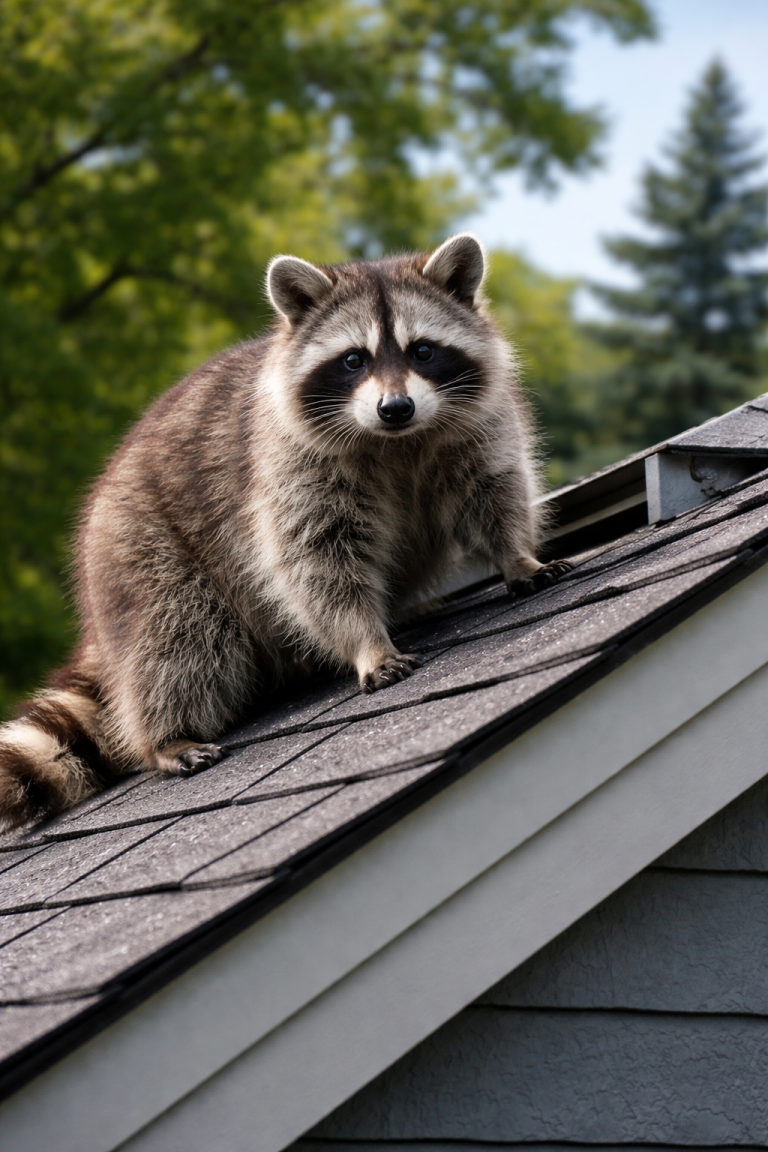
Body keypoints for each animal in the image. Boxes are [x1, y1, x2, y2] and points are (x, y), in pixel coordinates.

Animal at [0, 233, 571, 828]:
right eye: (353, 360)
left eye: (423, 351)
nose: (396, 407)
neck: (397, 442)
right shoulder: (289, 465)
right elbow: (315, 561)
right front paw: (366, 641)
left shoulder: (476, 425)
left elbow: (493, 492)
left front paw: (516, 556)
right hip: (137, 551)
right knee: (176, 639)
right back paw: (165, 736)